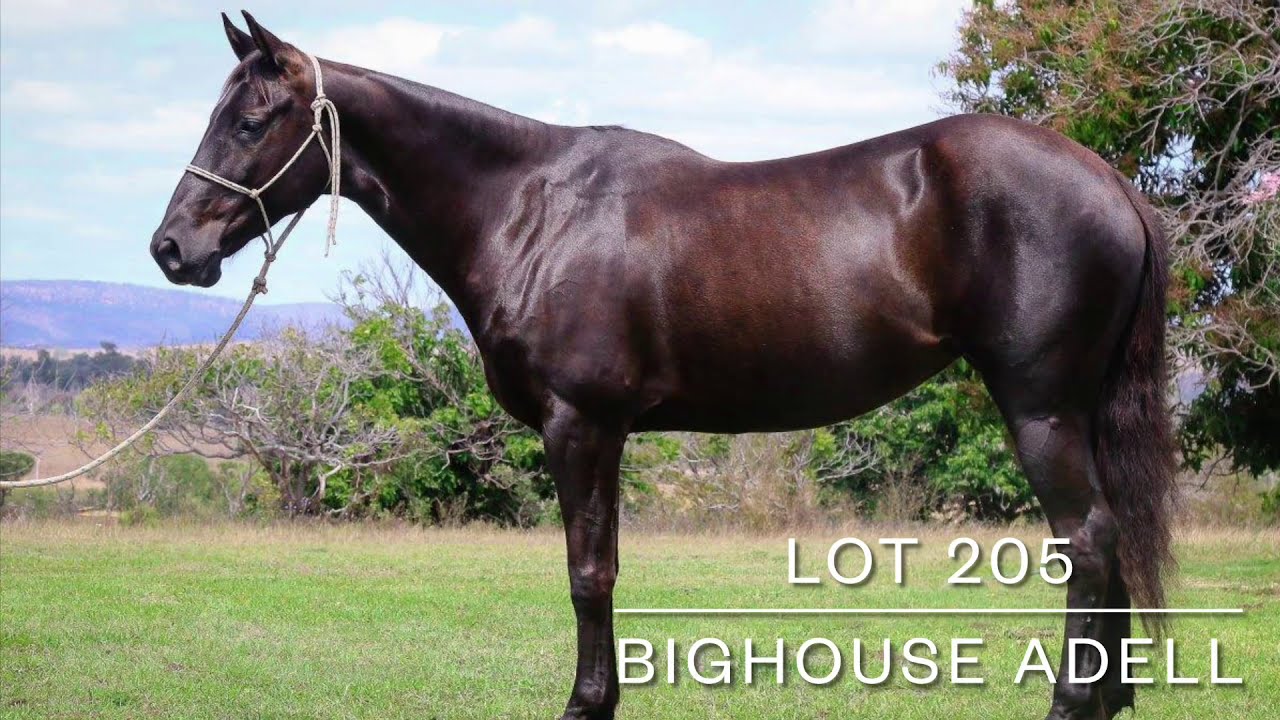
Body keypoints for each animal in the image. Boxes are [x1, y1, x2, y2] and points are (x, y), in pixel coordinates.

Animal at [152, 12, 1176, 720]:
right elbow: (601, 567)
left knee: (1087, 539)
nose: (171, 248)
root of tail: (1111, 181)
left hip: (1039, 406)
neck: (529, 208)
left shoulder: (581, 424)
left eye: (253, 120)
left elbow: (588, 573)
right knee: (1112, 534)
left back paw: (1068, 703)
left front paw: (586, 704)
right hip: (1077, 409)